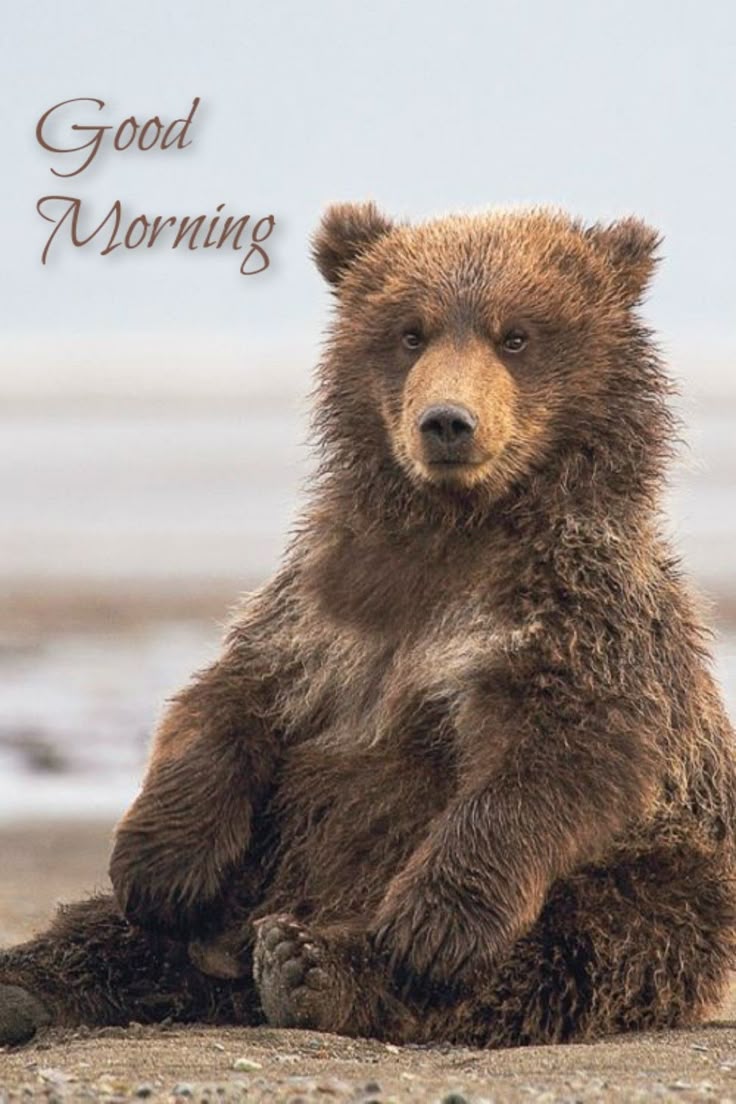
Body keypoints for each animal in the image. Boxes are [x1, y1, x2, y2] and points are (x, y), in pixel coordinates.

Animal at [1, 202, 735, 1049]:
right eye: (410, 331)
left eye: (515, 335)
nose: (446, 422)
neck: (454, 532)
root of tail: (227, 983)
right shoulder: (324, 608)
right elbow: (229, 697)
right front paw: (161, 866)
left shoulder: (574, 612)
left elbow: (557, 753)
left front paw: (431, 926)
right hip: (258, 873)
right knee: (112, 933)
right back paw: (29, 984)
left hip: (663, 881)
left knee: (571, 948)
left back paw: (312, 968)